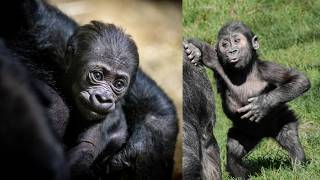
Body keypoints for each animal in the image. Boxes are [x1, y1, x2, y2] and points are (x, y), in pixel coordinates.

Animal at [185, 21, 310, 179]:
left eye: (237, 40)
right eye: (225, 44)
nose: (232, 51)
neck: (244, 71)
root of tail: (265, 134)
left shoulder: (269, 69)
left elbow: (299, 80)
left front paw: (261, 104)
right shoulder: (218, 62)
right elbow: (206, 52)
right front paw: (194, 50)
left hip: (281, 118)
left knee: (289, 137)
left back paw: (299, 166)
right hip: (245, 133)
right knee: (234, 150)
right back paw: (240, 174)